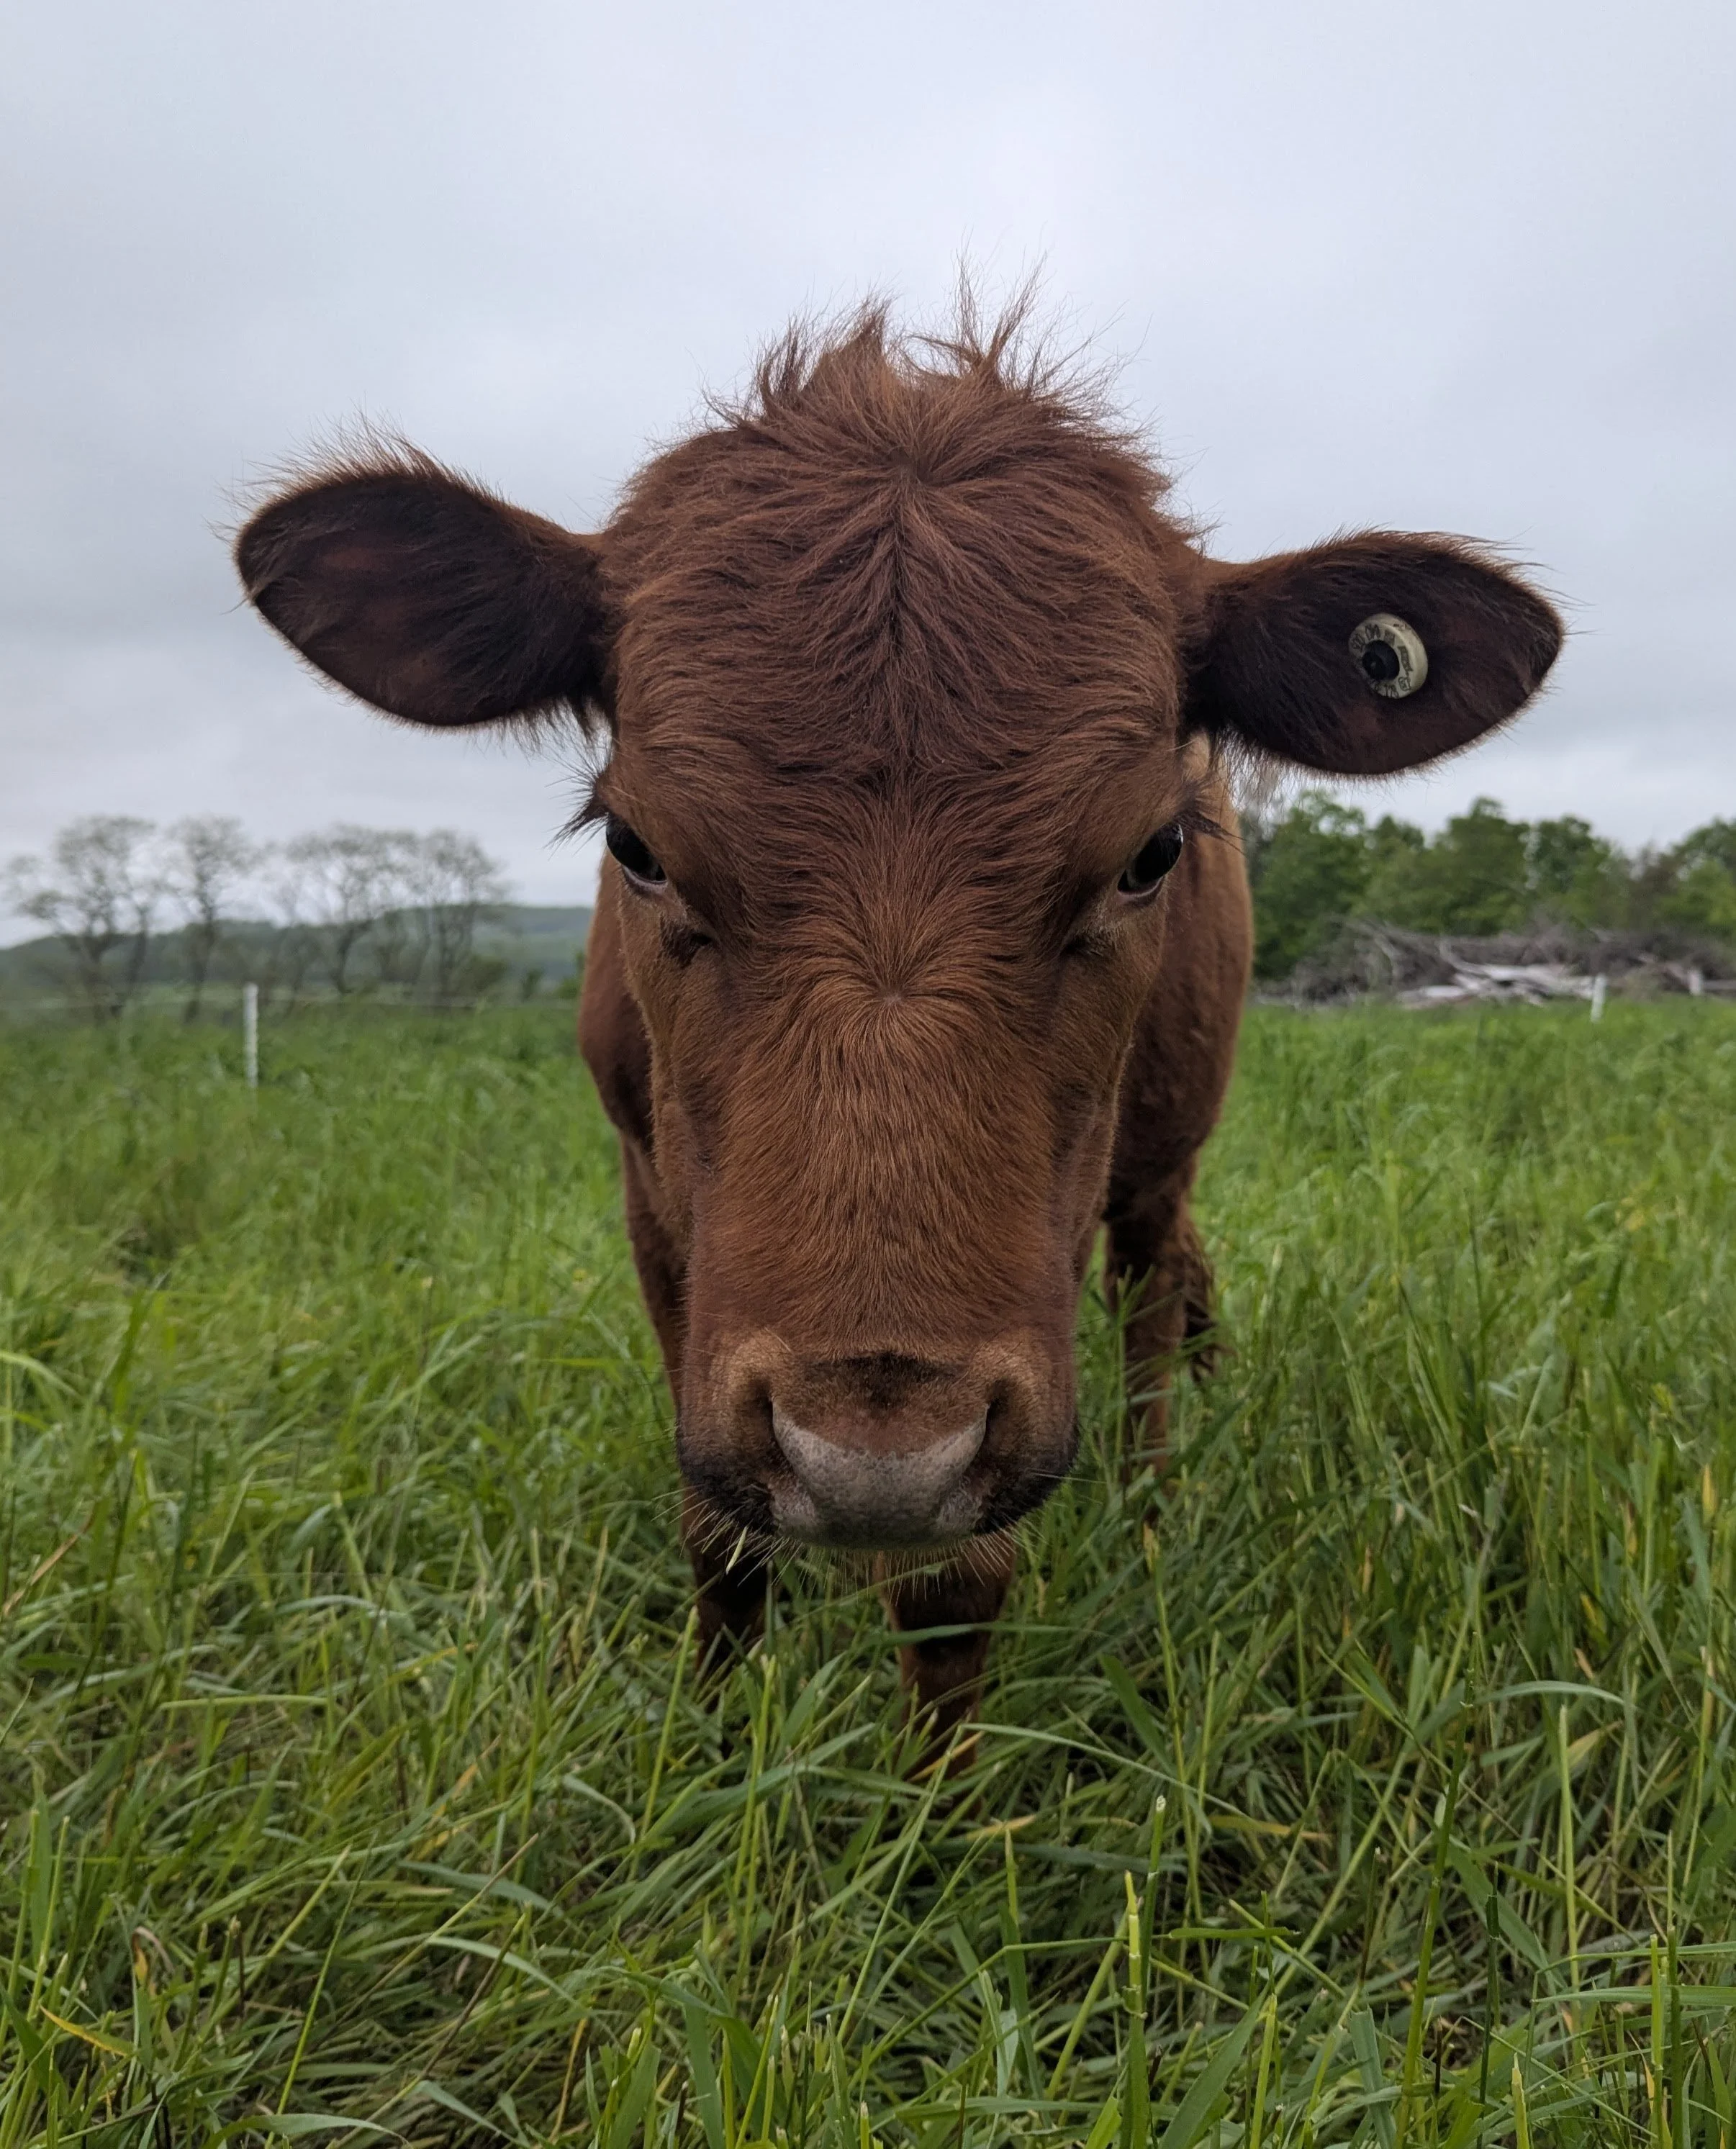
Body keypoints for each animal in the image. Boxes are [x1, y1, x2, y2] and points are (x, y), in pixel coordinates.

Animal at [236, 305, 1561, 1753]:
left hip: (1163, 1148)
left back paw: (1154, 1508)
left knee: (1153, 1299)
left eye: (1150, 853)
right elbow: (720, 1536)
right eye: (634, 845)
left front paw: (941, 1800)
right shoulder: (654, 1210)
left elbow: (952, 1580)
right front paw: (708, 1746)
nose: (871, 1462)